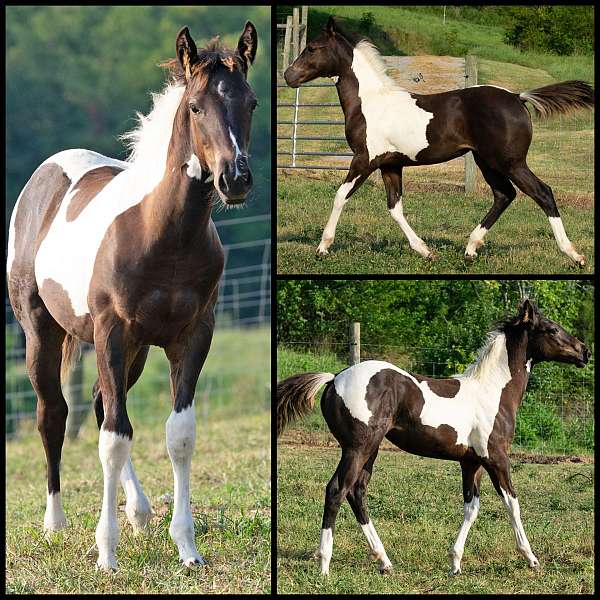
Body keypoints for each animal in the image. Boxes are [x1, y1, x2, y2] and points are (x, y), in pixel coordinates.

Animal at [5, 21, 258, 568]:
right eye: (195, 107)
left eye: (250, 102)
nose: (235, 179)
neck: (162, 234)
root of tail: (44, 174)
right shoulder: (111, 332)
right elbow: (113, 440)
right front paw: (107, 553)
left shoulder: (191, 336)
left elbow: (177, 435)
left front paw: (187, 547)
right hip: (42, 331)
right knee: (54, 415)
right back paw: (55, 524)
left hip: (136, 351)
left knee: (103, 407)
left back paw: (140, 513)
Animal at [278, 300, 592, 576]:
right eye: (552, 329)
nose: (585, 352)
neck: (491, 392)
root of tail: (334, 379)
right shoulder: (496, 457)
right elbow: (512, 503)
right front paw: (531, 558)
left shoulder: (471, 463)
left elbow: (471, 508)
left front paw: (455, 563)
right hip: (358, 448)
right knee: (337, 490)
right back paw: (324, 565)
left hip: (371, 449)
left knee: (357, 492)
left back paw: (384, 562)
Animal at [284, 17, 592, 266]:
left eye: (313, 48)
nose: (288, 75)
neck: (369, 102)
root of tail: (518, 97)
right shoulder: (390, 165)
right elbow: (395, 208)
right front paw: (425, 251)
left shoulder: (364, 159)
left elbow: (340, 195)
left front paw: (322, 247)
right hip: (486, 161)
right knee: (504, 195)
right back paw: (470, 248)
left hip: (510, 162)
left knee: (542, 193)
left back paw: (573, 255)